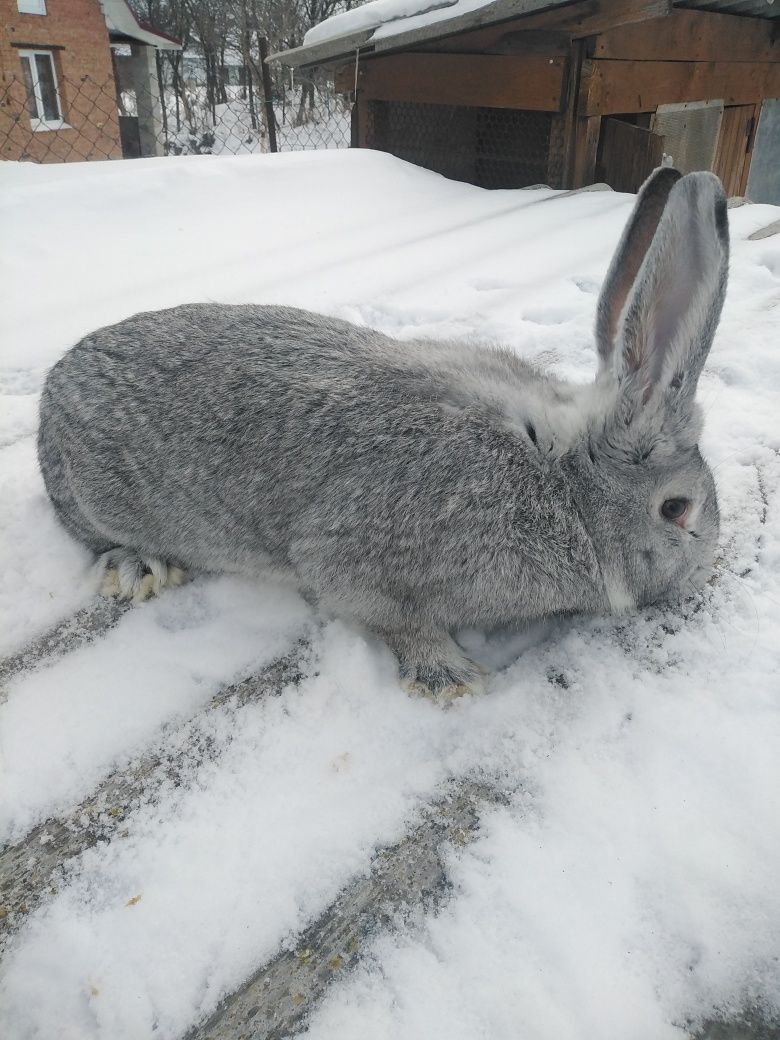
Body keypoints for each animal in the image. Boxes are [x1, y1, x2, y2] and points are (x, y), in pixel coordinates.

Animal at [36, 168, 732, 698]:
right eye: (677, 510)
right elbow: (393, 620)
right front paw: (451, 679)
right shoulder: (355, 567)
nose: (701, 575)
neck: (563, 474)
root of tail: (52, 389)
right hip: (98, 501)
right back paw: (139, 568)